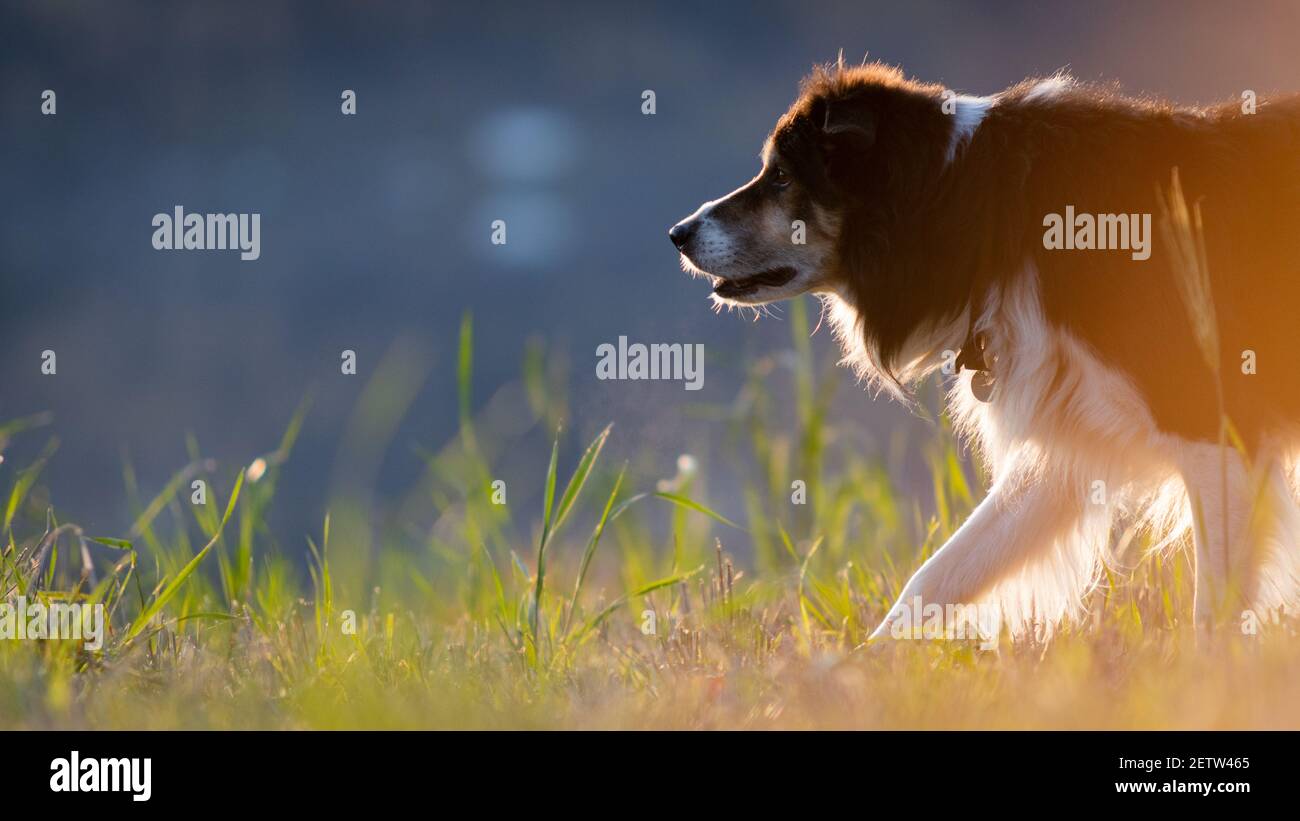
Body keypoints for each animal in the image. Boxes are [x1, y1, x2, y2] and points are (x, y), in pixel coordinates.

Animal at [670, 62, 1300, 641]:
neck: (987, 215)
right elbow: (936, 576)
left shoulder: (1213, 426)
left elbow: (1212, 614)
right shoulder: (1068, 442)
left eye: (780, 177)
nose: (678, 233)